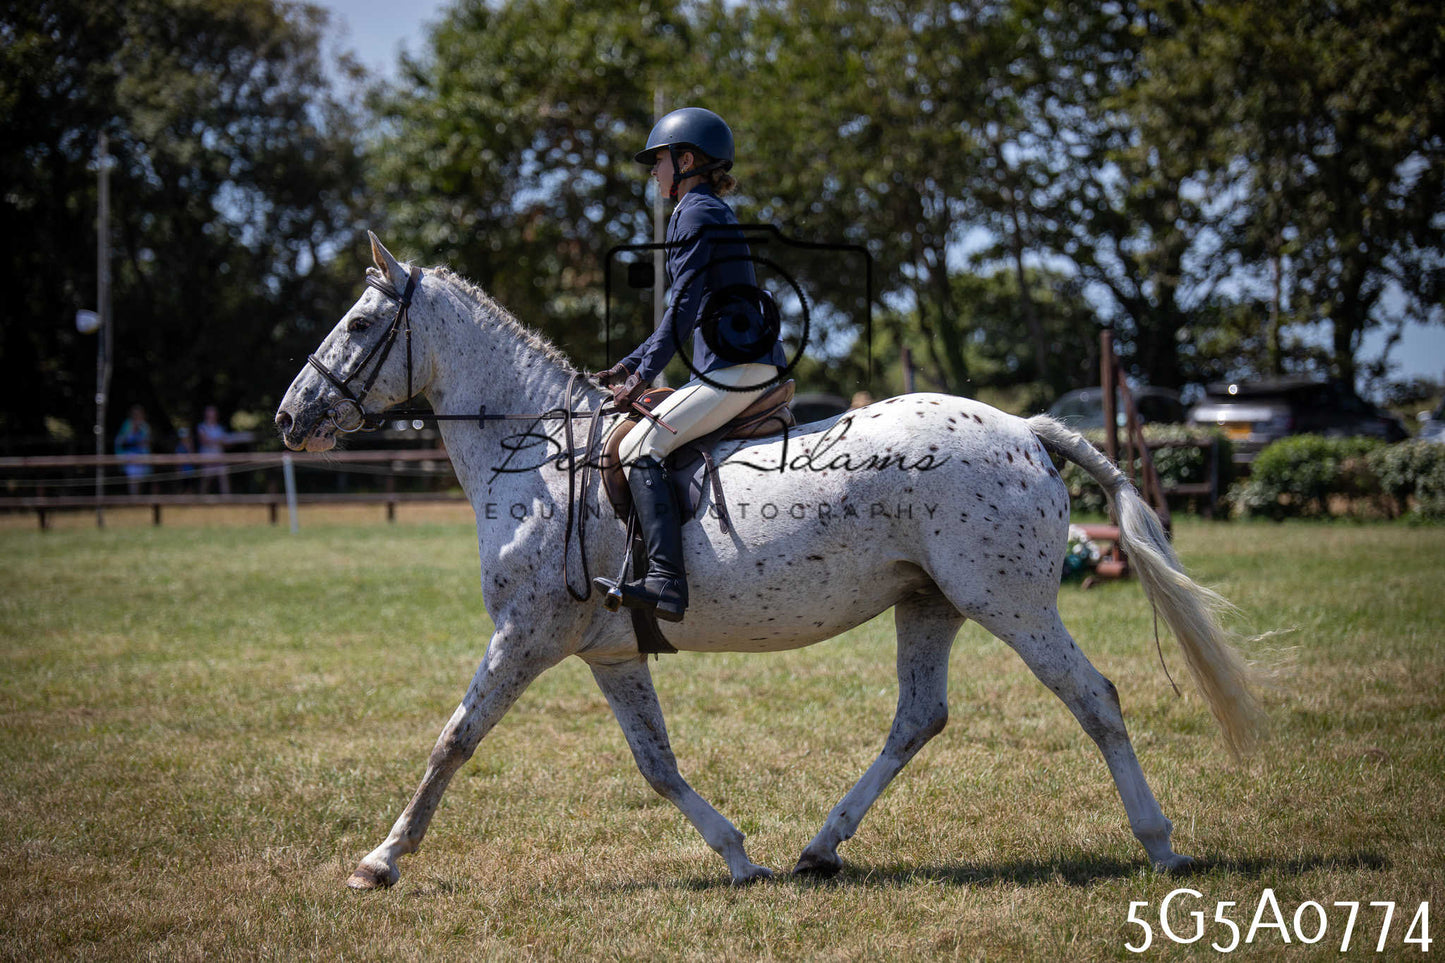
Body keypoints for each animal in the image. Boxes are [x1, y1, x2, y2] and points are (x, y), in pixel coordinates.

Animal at [275, 233, 1264, 890]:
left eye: (359, 322)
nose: (288, 418)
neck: (537, 456)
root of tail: (1023, 427)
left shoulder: (523, 635)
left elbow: (454, 737)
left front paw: (379, 860)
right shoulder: (608, 651)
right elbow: (656, 764)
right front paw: (737, 855)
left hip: (1010, 603)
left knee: (1092, 698)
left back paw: (1160, 842)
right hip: (931, 602)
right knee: (918, 716)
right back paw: (819, 847)